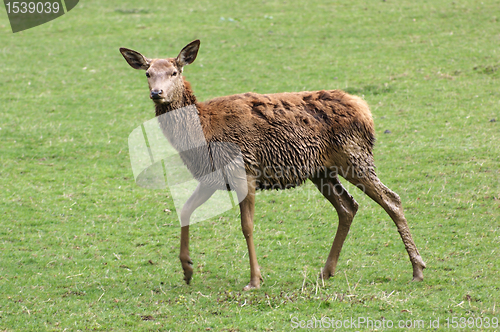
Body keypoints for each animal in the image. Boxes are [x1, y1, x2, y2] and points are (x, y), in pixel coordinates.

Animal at [120, 39, 426, 290]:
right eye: (147, 73)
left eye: (175, 72)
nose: (157, 92)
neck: (202, 132)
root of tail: (366, 111)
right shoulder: (212, 178)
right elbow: (184, 210)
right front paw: (187, 269)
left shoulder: (244, 169)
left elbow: (247, 226)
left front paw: (254, 280)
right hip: (321, 170)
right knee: (348, 207)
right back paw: (326, 271)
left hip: (355, 157)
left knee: (392, 199)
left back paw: (418, 270)